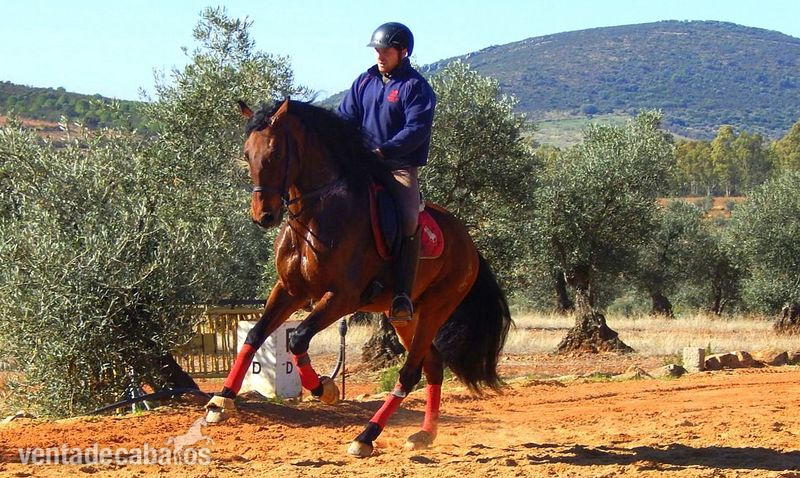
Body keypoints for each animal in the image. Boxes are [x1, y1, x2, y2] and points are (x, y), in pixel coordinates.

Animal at [204, 98, 512, 458]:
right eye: (247, 152)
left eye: (276, 152)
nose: (263, 216)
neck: (316, 215)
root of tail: (469, 245)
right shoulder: (290, 290)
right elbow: (255, 335)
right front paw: (221, 400)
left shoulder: (342, 297)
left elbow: (298, 339)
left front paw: (324, 388)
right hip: (406, 317)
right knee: (433, 365)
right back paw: (425, 434)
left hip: (435, 309)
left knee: (410, 372)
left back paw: (366, 436)